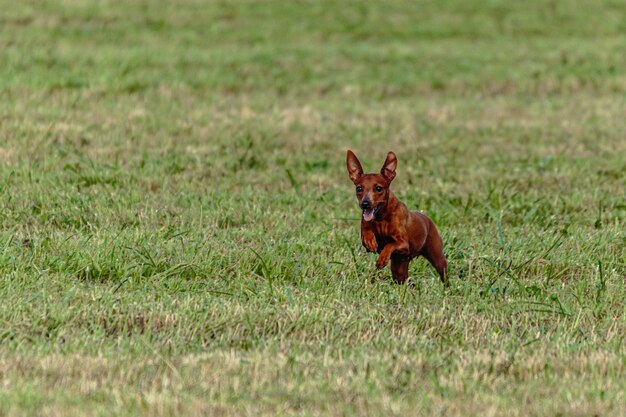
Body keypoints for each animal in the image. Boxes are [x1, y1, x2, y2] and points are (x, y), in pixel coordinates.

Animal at [344, 150, 446, 286]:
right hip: (399, 268)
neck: (381, 217)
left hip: (437, 258)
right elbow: (367, 234)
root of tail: (428, 219)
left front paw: (382, 258)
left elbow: (390, 245)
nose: (365, 204)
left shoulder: (403, 244)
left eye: (378, 188)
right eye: (359, 188)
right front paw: (370, 240)